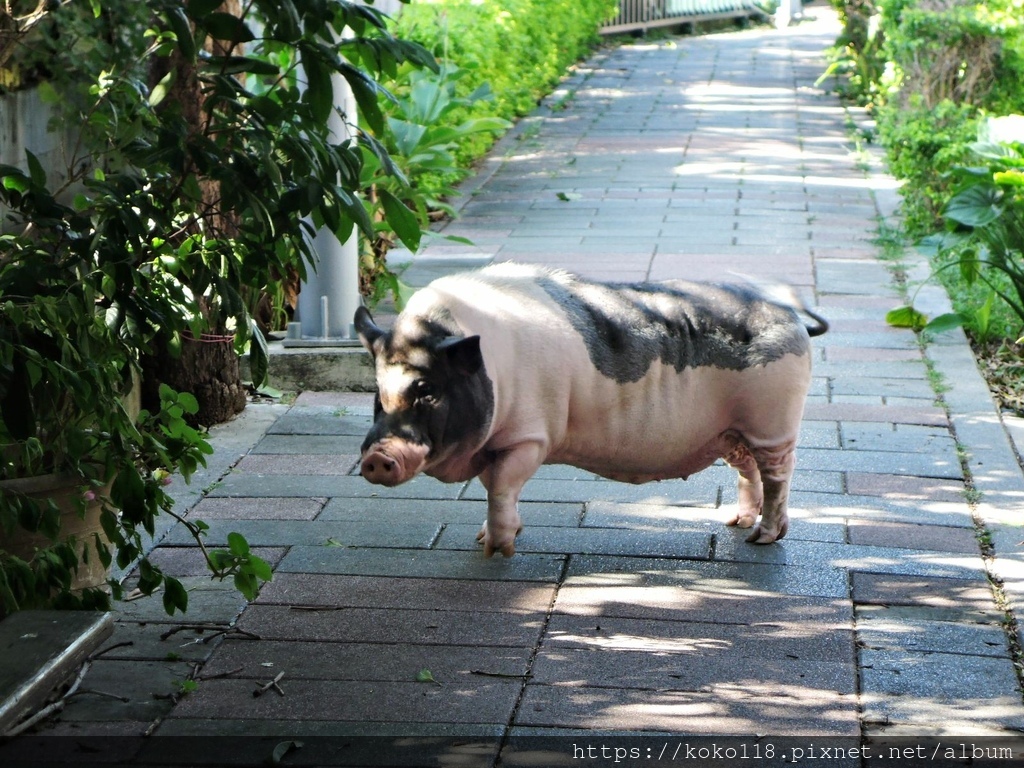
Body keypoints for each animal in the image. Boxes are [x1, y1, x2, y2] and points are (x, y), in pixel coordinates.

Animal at [356, 264, 827, 561]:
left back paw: (760, 539)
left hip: (774, 421)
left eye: (427, 391)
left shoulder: (530, 436)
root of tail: (793, 317)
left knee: (778, 475)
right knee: (747, 469)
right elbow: (494, 486)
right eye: (378, 394)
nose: (377, 457)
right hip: (732, 430)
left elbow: (502, 486)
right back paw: (734, 521)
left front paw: (497, 551)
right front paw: (482, 539)